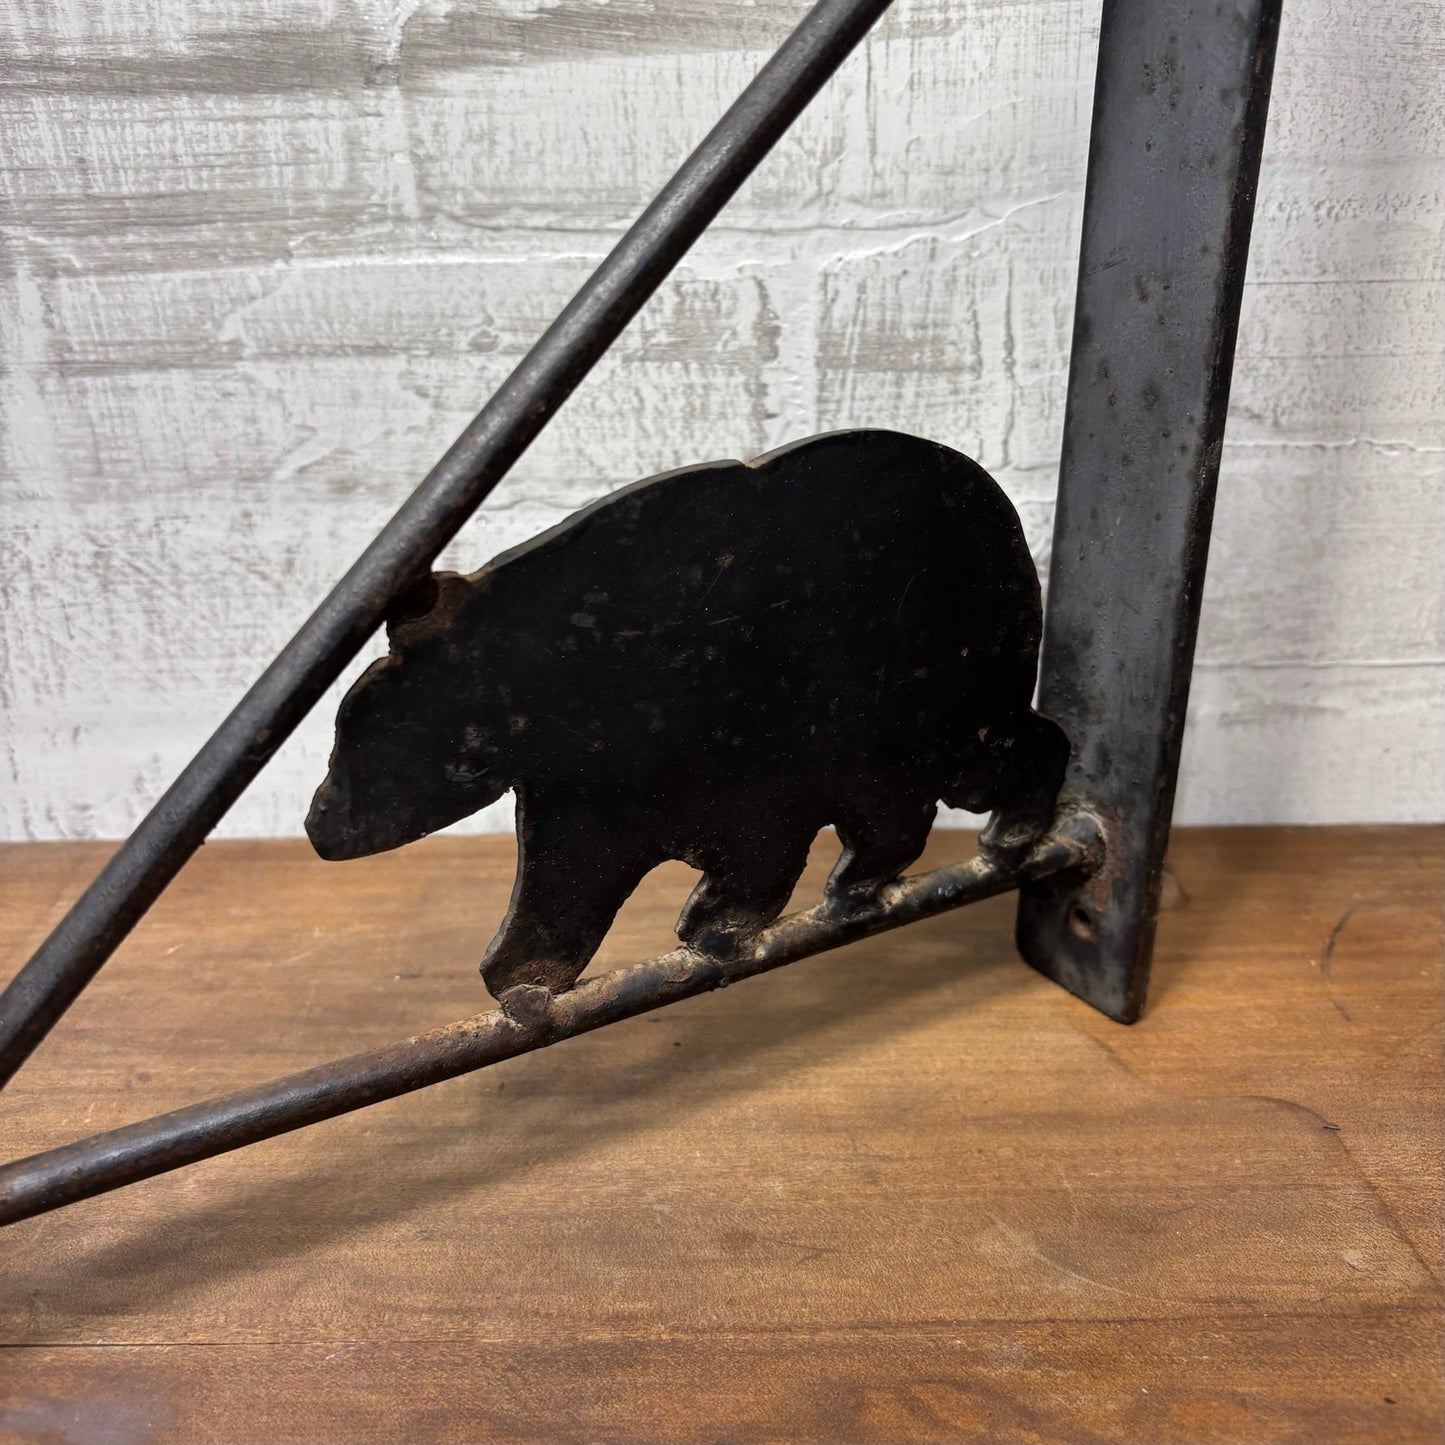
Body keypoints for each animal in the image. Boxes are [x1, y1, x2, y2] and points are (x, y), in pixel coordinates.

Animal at [306, 429, 1069, 1000]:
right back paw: (863, 880)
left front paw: (712, 923)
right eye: (340, 737)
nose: (319, 826)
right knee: (892, 806)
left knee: (984, 755)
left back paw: (1009, 830)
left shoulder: (734, 738)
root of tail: (1003, 518)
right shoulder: (591, 788)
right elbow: (572, 873)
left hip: (934, 683)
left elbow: (750, 842)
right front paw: (527, 974)